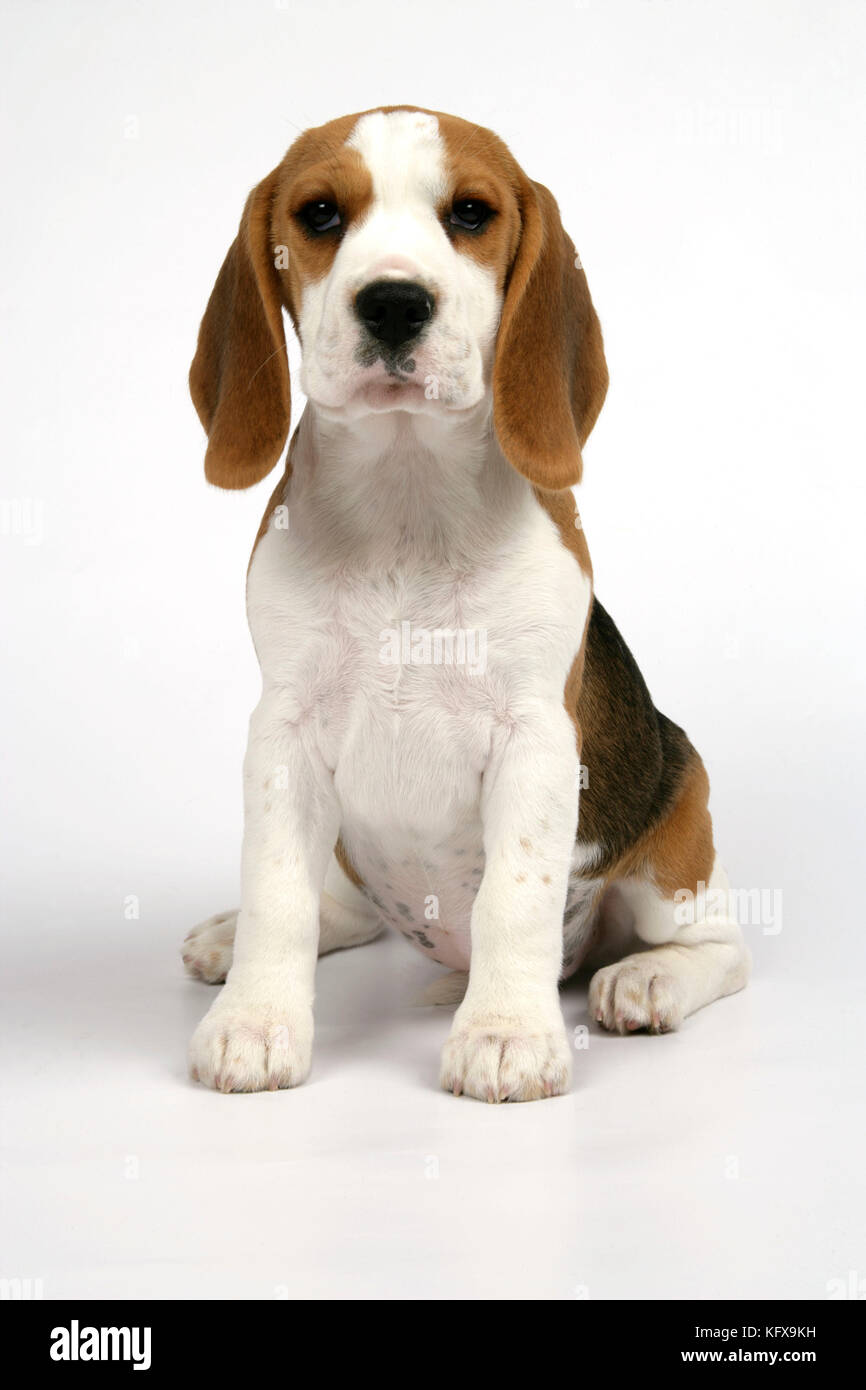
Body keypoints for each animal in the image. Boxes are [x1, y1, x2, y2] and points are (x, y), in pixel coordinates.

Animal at [179, 105, 750, 1106]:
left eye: (473, 213)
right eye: (319, 213)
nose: (394, 303)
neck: (407, 494)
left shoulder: (536, 737)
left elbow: (512, 899)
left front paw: (506, 1034)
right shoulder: (283, 730)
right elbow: (280, 893)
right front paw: (255, 1021)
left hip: (678, 831)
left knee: (720, 946)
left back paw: (645, 978)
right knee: (347, 907)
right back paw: (229, 934)